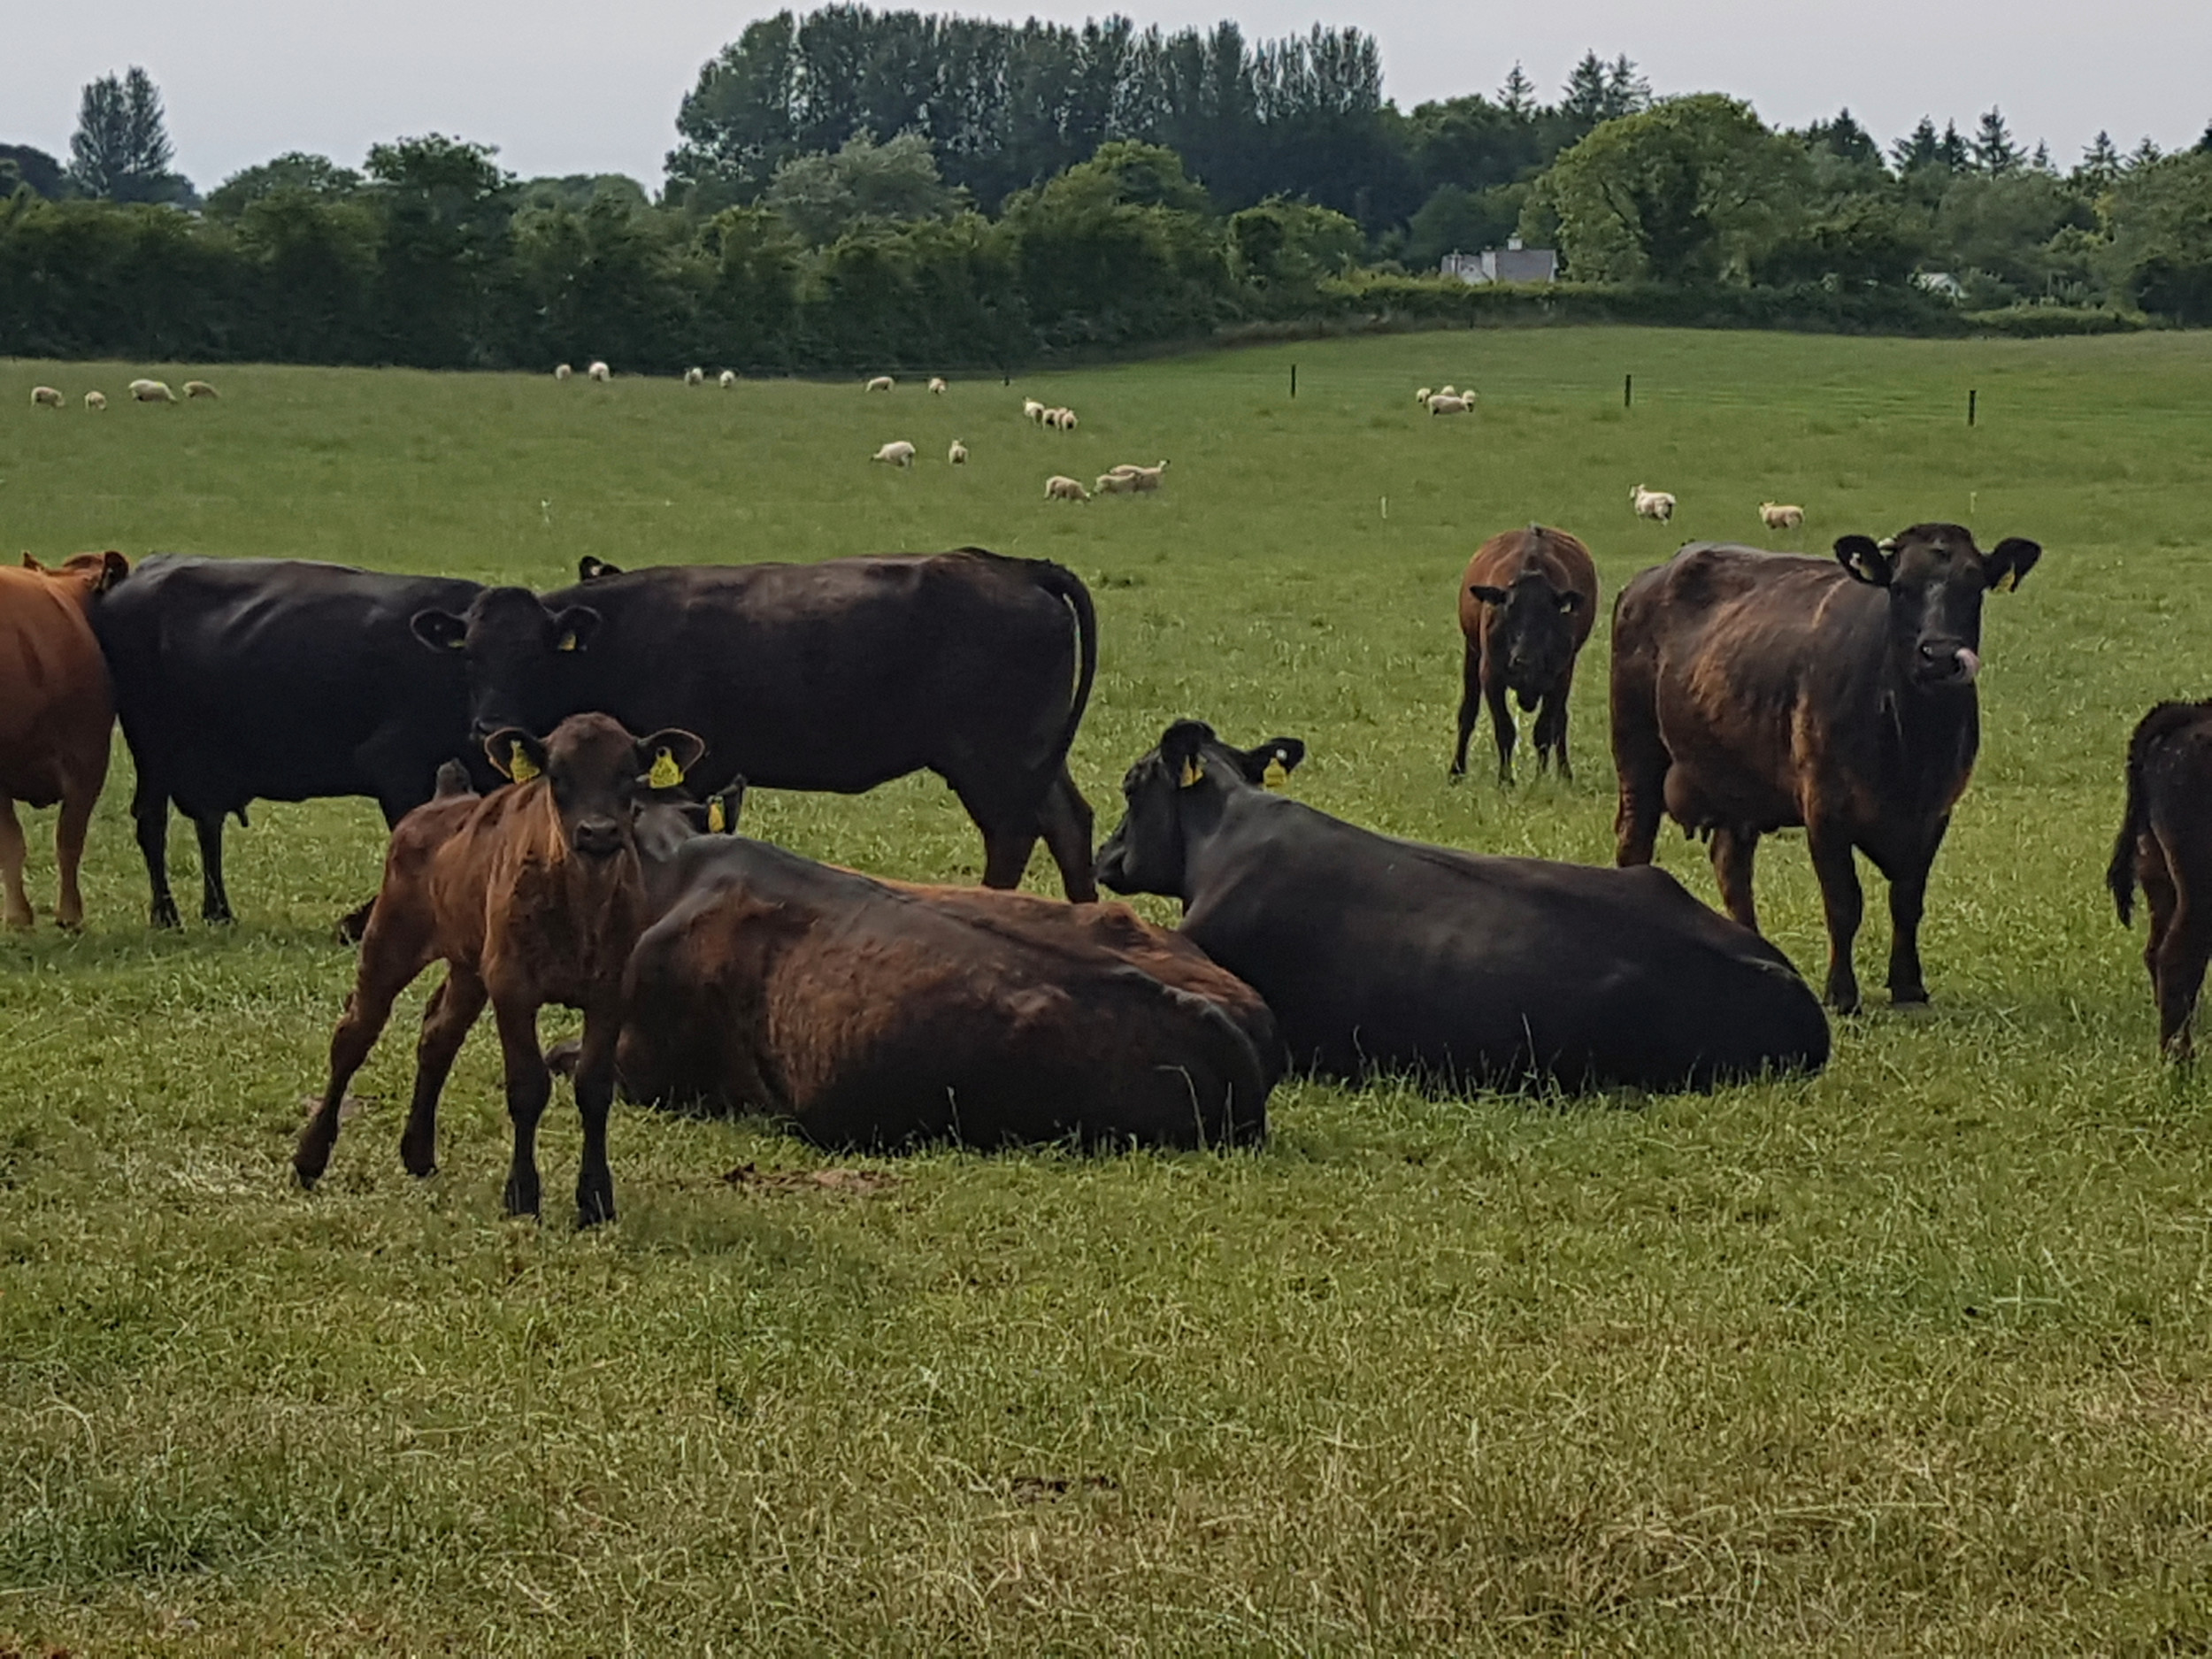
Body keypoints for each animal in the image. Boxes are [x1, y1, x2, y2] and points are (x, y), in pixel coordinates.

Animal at [90, 555, 485, 929]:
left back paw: (219, 913)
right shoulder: (396, 767)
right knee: (153, 823)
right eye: (472, 655)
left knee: (208, 825)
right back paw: (167, 915)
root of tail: (135, 575)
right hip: (153, 754)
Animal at [294, 714, 706, 1226]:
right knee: (354, 1033)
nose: (598, 833)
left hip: (471, 967)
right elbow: (528, 1087)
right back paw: (310, 1157)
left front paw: (595, 1199)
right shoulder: (512, 986)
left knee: (438, 1036)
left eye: (630, 775)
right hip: (390, 938)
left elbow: (594, 1088)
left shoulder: (612, 991)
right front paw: (523, 1195)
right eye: (556, 776)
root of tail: (447, 801)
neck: (580, 908)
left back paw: (418, 1154)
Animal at [408, 549, 1101, 900]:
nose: (488, 723)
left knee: (1013, 835)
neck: (619, 637)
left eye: (534, 657)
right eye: (469, 654)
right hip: (1034, 753)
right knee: (1068, 824)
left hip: (992, 759)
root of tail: (1012, 565)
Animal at [1450, 525, 1599, 784]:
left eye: (1549, 616)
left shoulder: (1560, 677)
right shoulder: (1490, 674)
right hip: (1472, 653)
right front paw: (1505, 781)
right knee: (1467, 713)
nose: (1522, 660)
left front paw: (1539, 779)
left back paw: (1565, 773)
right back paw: (1457, 770)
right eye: (1508, 610)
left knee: (1561, 720)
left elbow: (1545, 729)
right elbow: (1505, 729)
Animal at [1611, 525, 2042, 1012]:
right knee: (1635, 846)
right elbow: (1844, 903)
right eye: (1900, 587)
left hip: (1736, 787)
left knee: (1731, 868)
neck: (1910, 742)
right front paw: (1841, 992)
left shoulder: (1934, 813)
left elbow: (1907, 900)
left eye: (1974, 588)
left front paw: (1908, 986)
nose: (1939, 654)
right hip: (1636, 757)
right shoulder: (1825, 810)